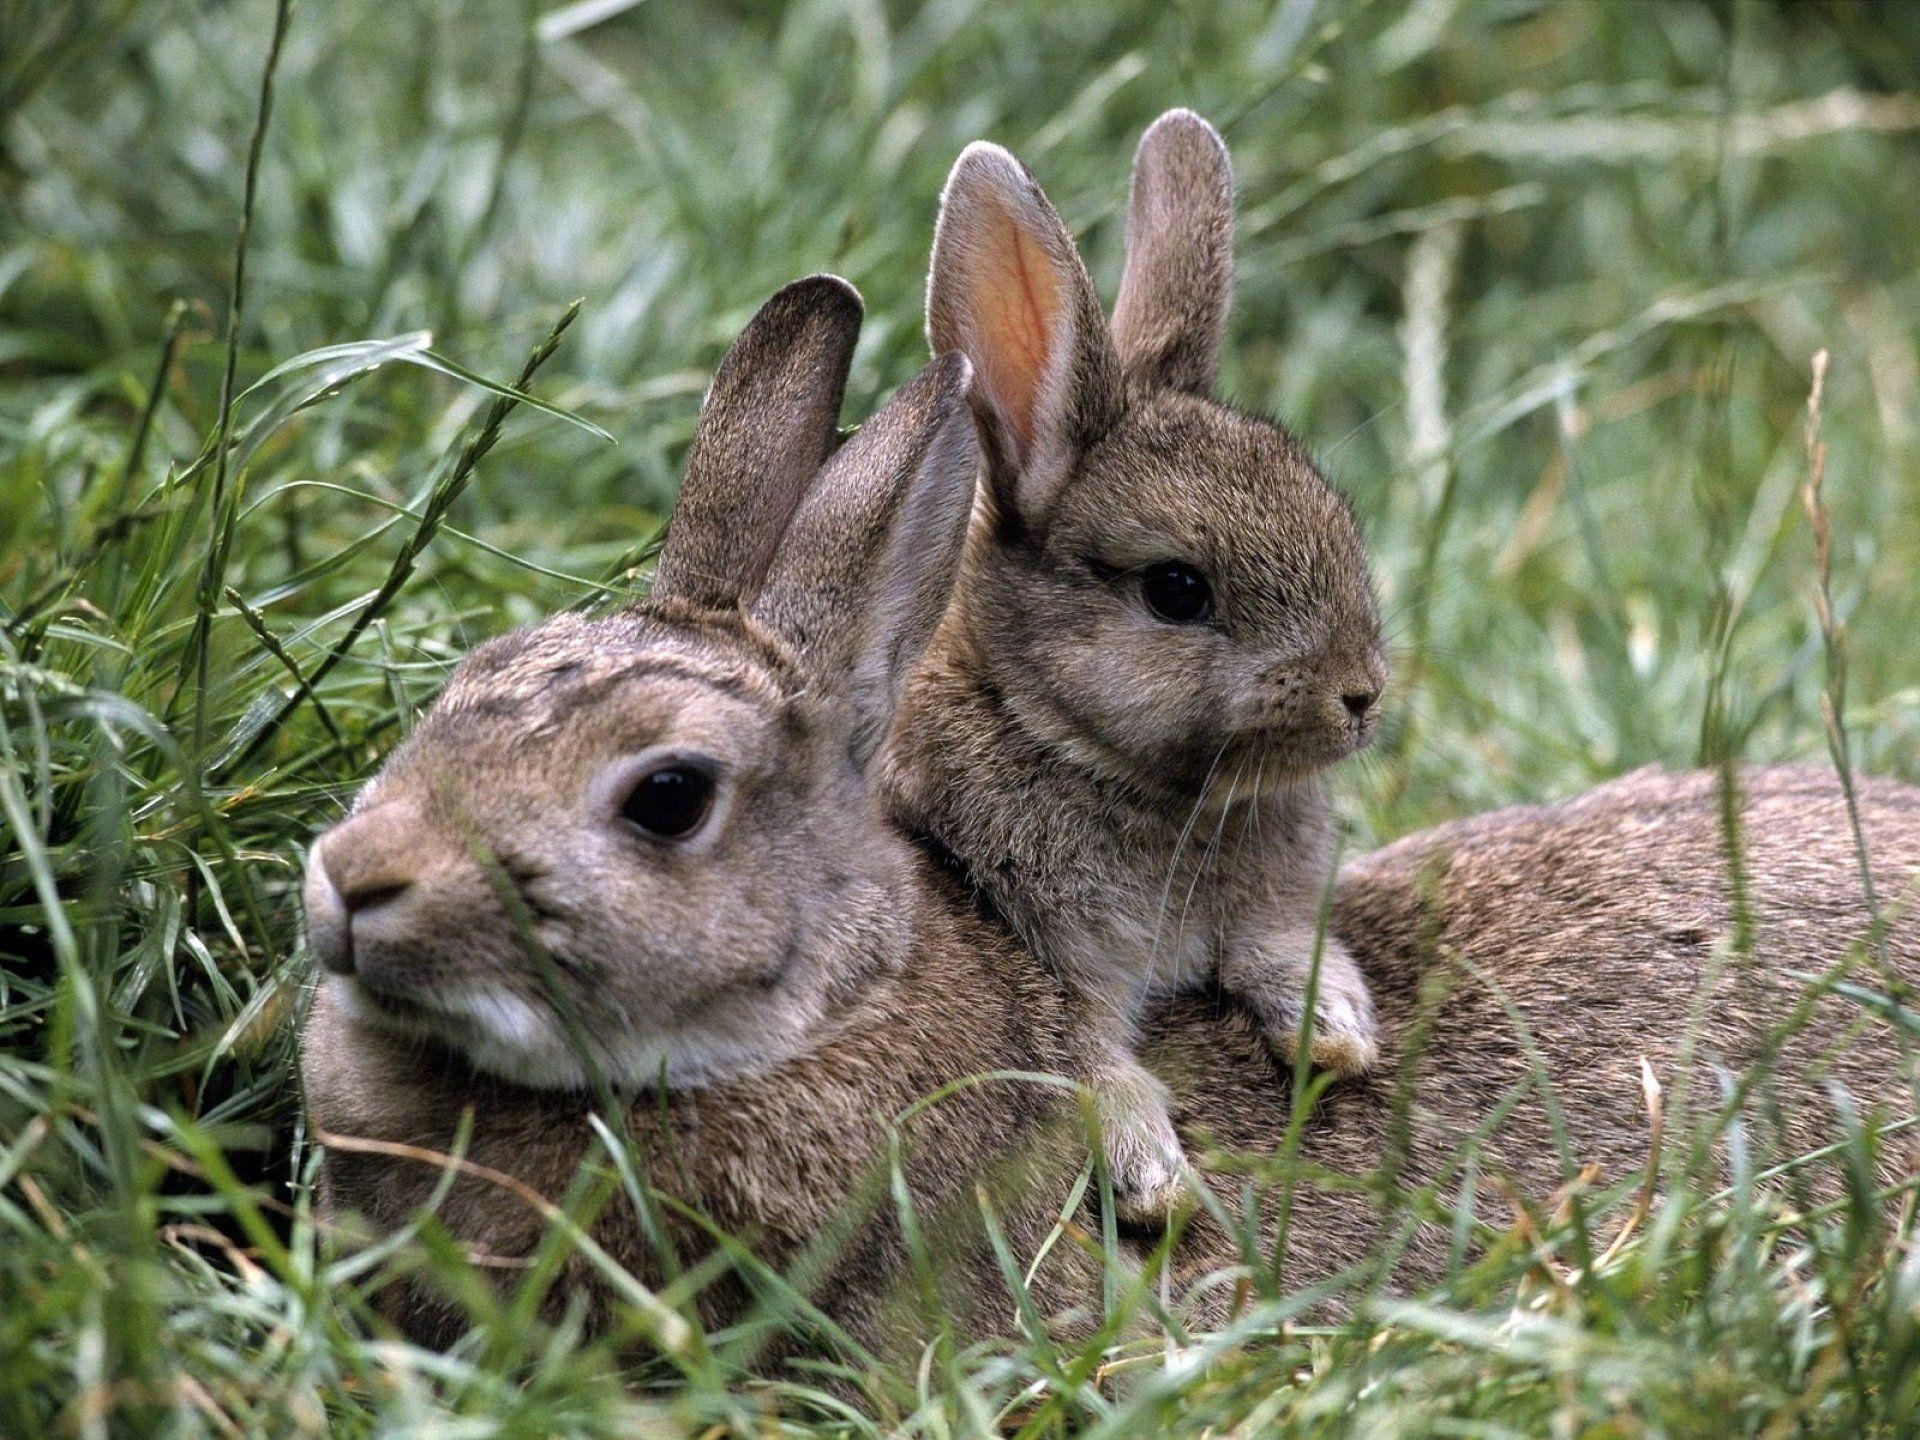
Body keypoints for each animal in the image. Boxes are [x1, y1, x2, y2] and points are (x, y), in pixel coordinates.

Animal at [879, 107, 1390, 1221]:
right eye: (1176, 590)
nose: (1362, 697)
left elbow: (1279, 946)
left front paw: (1335, 1032)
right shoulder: (1045, 958)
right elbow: (1083, 1057)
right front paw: (1154, 1178)